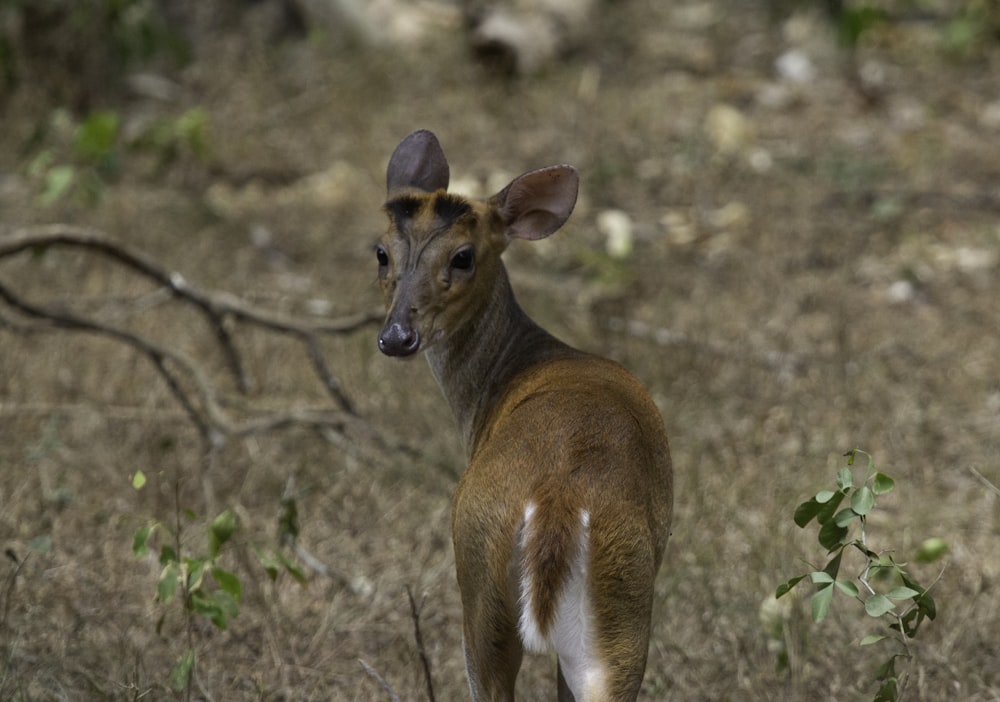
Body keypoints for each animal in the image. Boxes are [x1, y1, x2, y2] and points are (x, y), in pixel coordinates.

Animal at [376, 129, 672, 700]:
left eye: (464, 256)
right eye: (380, 252)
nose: (396, 336)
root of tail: (557, 501)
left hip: (480, 576)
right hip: (621, 599)